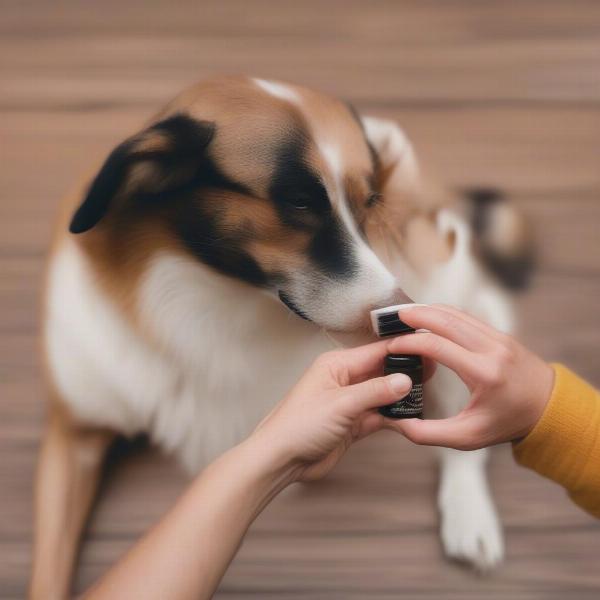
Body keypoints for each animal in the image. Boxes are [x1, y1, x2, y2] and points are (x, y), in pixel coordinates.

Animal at [30, 76, 532, 600]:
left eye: (369, 203)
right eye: (299, 200)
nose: (402, 312)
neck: (202, 294)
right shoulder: (75, 431)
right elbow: (48, 568)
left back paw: (468, 513)